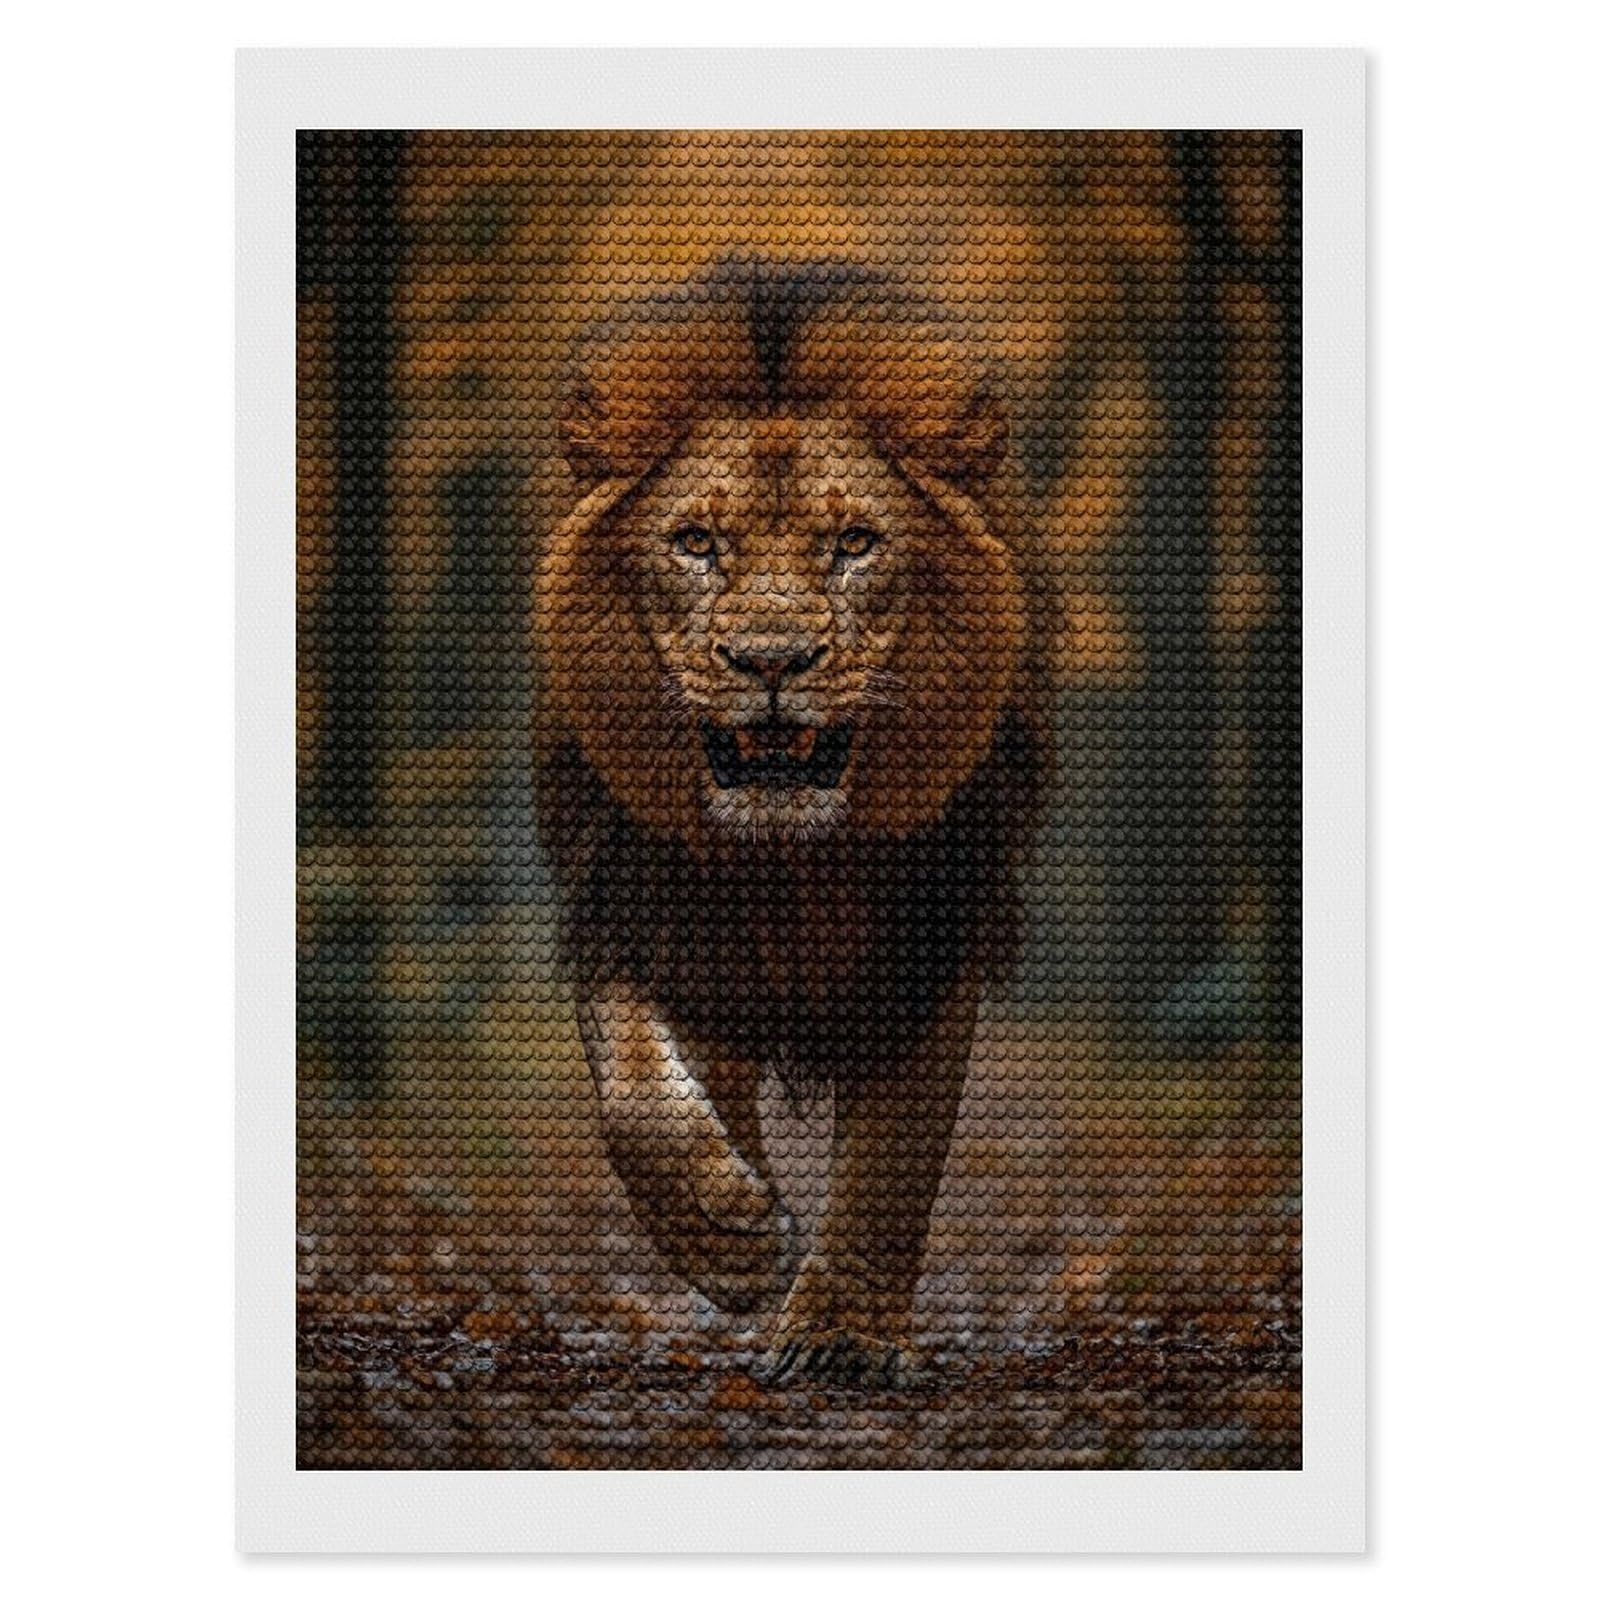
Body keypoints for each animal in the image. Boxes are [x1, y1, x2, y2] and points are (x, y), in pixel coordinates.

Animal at [532, 259, 1050, 1385]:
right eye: (695, 543)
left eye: (854, 543)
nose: (770, 662)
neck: (786, 860)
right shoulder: (636, 897)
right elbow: (634, 1088)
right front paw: (725, 1233)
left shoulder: (926, 947)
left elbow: (893, 1159)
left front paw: (838, 1334)